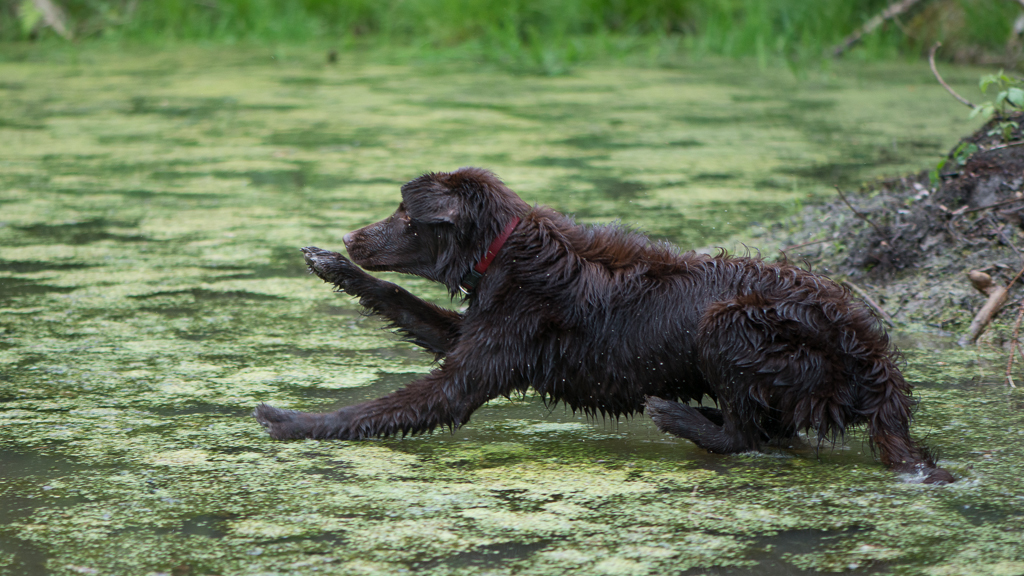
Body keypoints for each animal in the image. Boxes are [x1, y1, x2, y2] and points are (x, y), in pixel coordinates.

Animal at [253, 165, 950, 479]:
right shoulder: (477, 331)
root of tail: (879, 364)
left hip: (731, 323)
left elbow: (379, 410)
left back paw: (677, 415)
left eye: (403, 213)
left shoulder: (474, 371)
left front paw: (288, 421)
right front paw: (330, 266)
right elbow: (402, 301)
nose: (351, 237)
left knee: (748, 435)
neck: (506, 252)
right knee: (773, 434)